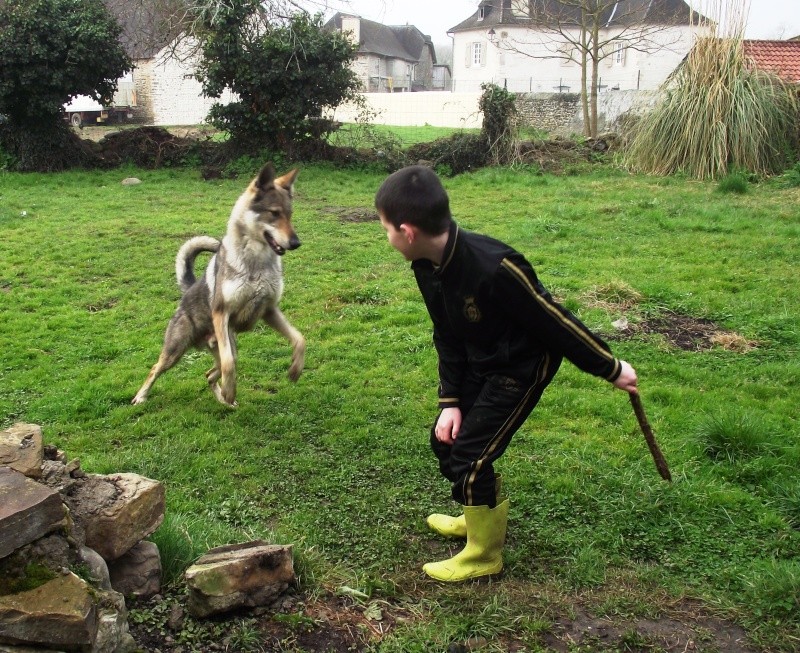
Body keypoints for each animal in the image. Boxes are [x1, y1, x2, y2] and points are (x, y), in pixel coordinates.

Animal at [131, 162, 306, 408]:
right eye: (274, 213)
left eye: (290, 215)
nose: (296, 243)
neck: (256, 265)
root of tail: (188, 290)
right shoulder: (222, 313)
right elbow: (229, 365)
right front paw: (230, 391)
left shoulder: (269, 310)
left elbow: (300, 340)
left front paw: (295, 370)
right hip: (176, 350)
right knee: (157, 368)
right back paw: (141, 396)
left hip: (222, 346)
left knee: (209, 373)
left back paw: (223, 399)